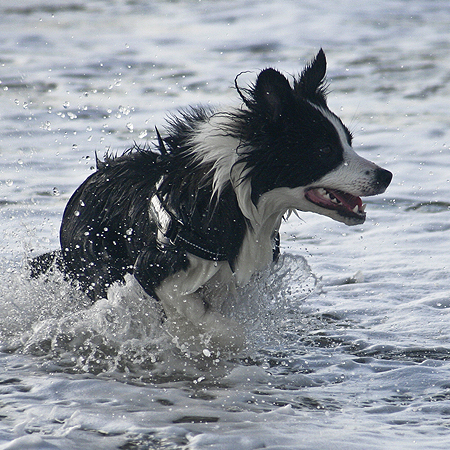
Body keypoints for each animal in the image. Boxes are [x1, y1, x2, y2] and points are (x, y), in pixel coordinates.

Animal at [30, 50, 390, 352]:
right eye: (325, 150)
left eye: (349, 141)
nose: (386, 175)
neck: (233, 198)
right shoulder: (156, 270)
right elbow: (210, 320)